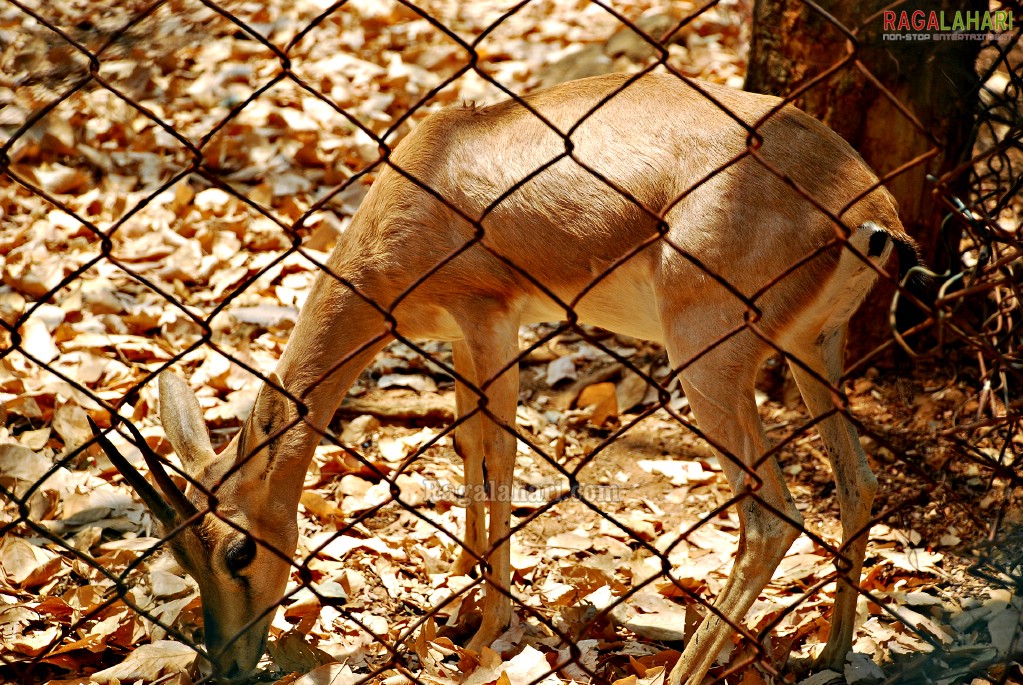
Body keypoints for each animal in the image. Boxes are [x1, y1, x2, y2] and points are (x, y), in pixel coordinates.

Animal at [96, 71, 920, 685]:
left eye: (238, 552)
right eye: (178, 553)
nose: (228, 663)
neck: (425, 179)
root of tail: (870, 208)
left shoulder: (489, 319)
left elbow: (500, 453)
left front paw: (487, 629)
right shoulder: (465, 338)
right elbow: (467, 443)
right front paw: (461, 584)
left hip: (709, 361)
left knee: (771, 515)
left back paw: (686, 670)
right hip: (814, 350)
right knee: (858, 481)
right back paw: (833, 651)